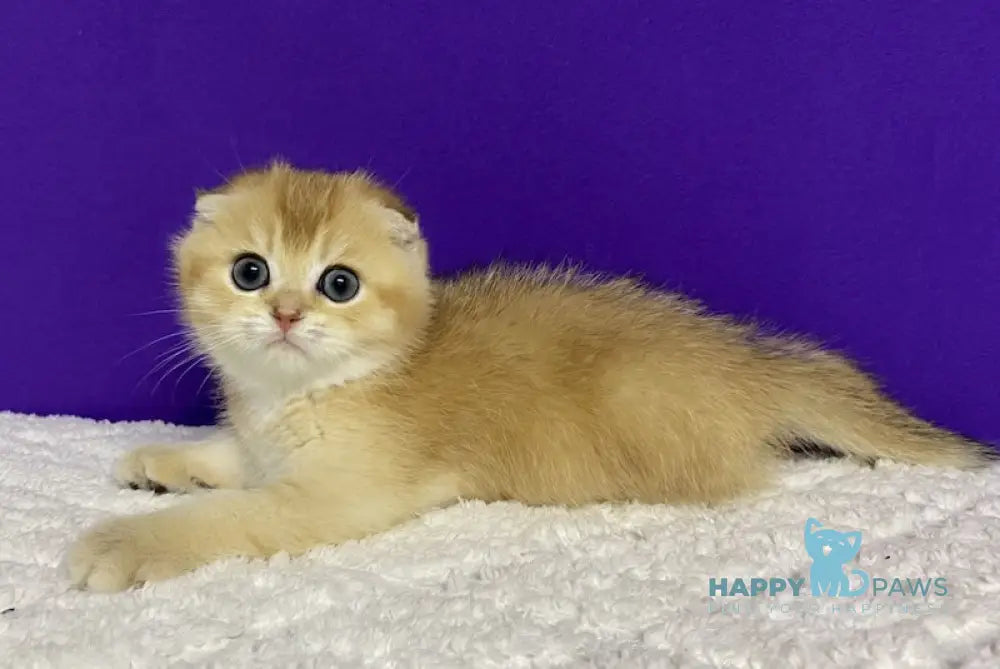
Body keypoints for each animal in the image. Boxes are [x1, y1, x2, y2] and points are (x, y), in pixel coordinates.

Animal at [64, 160, 992, 588]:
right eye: (250, 271)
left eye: (339, 283)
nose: (287, 313)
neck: (305, 393)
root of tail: (746, 355)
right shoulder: (266, 442)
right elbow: (230, 455)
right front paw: (161, 460)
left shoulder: (337, 496)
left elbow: (234, 516)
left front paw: (125, 541)